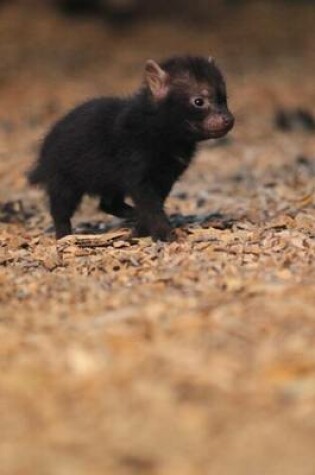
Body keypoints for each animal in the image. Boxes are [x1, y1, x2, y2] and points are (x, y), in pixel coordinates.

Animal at [29, 56, 235, 242]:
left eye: (224, 98)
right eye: (199, 101)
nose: (228, 119)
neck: (164, 135)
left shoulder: (168, 173)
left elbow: (155, 201)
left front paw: (141, 229)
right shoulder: (134, 159)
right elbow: (148, 202)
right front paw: (164, 233)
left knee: (107, 203)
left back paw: (130, 213)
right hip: (63, 175)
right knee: (61, 205)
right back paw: (64, 234)